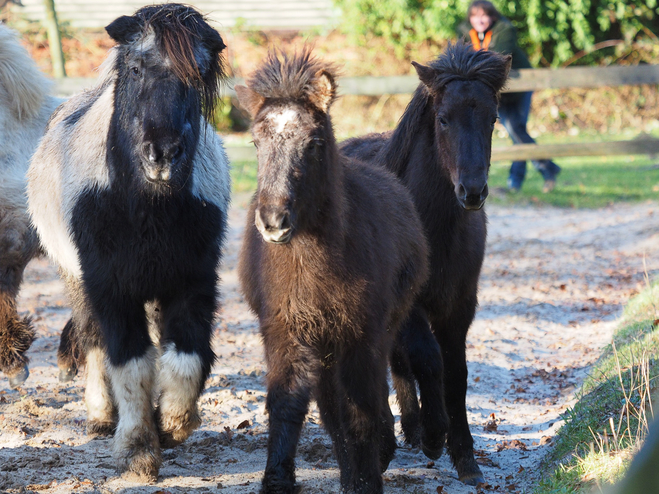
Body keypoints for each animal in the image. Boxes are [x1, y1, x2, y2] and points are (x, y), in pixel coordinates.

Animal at [27, 3, 231, 480]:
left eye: (198, 74)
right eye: (136, 68)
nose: (163, 155)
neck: (146, 209)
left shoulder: (193, 281)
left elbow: (187, 356)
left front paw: (172, 424)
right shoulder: (110, 285)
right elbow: (130, 360)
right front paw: (137, 449)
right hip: (76, 280)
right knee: (93, 339)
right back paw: (102, 417)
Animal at [236, 48, 428, 492]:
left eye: (315, 142)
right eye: (255, 142)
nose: (273, 222)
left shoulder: (360, 335)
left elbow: (360, 414)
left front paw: (367, 478)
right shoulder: (285, 330)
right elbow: (289, 404)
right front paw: (278, 479)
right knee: (330, 406)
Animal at [340, 43, 510, 486]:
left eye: (492, 117)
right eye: (443, 118)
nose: (473, 191)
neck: (432, 228)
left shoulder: (460, 304)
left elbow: (456, 374)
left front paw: (465, 456)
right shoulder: (409, 305)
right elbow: (428, 360)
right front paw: (436, 435)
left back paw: (410, 431)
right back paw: (394, 438)